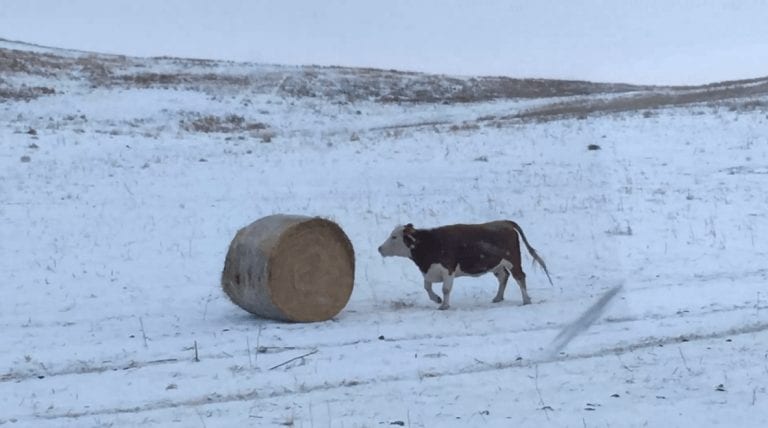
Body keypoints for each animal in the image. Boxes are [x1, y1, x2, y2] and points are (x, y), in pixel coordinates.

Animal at [378, 221, 552, 310]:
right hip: (496, 264)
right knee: (504, 277)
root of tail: (505, 223)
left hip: (513, 260)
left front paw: (444, 305)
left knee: (519, 277)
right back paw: (497, 298)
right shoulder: (429, 271)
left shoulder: (447, 269)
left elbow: (446, 288)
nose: (379, 248)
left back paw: (526, 300)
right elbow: (427, 287)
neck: (429, 243)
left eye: (394, 237)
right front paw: (436, 299)